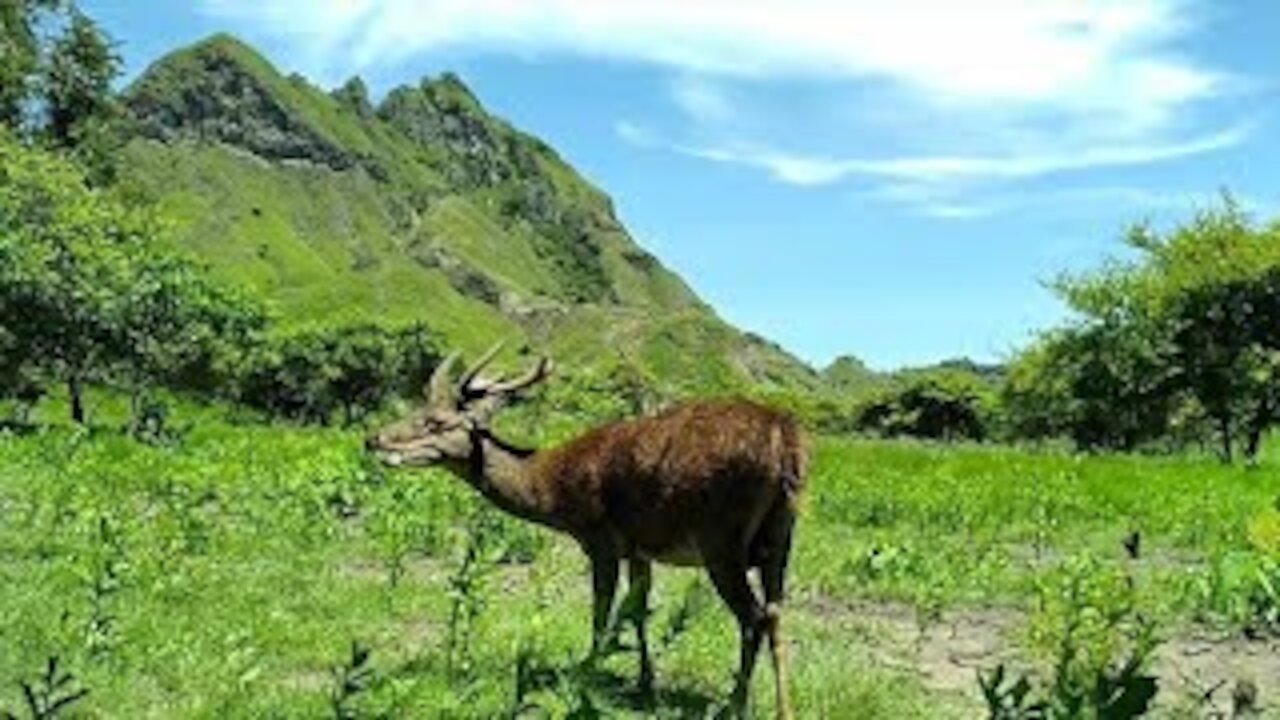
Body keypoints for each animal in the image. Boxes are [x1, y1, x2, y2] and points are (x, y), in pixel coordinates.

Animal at [366, 345, 803, 712]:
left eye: (435, 422)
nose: (374, 438)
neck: (552, 493)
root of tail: (786, 439)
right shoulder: (639, 547)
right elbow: (638, 611)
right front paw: (645, 682)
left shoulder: (600, 537)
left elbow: (601, 609)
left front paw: (589, 673)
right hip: (781, 534)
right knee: (776, 614)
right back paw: (784, 708)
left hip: (721, 538)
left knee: (753, 617)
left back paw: (735, 704)